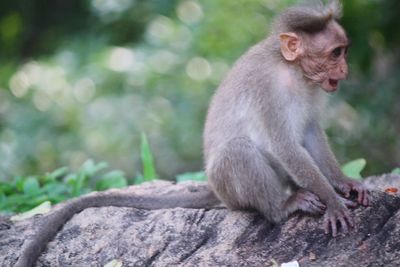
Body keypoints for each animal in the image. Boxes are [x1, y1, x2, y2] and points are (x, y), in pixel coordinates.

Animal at [14, 1, 370, 266]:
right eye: (336, 53)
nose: (344, 70)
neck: (292, 70)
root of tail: (215, 189)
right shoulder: (266, 89)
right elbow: (285, 145)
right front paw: (333, 201)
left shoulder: (312, 90)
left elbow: (309, 134)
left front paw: (344, 182)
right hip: (230, 187)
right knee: (237, 152)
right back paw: (282, 206)